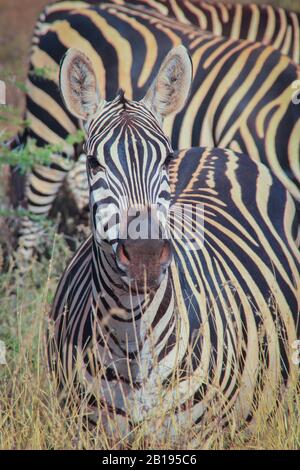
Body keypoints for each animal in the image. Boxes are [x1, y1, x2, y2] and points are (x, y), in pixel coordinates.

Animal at [48, 45, 300, 444]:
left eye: (165, 158)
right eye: (93, 162)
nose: (145, 255)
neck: (130, 337)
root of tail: (217, 150)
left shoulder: (202, 435)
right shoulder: (84, 432)